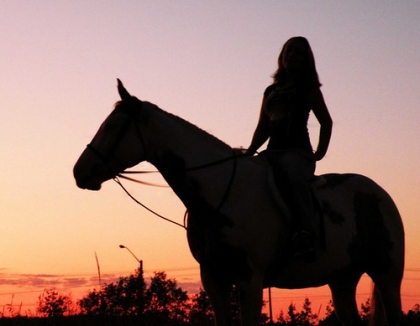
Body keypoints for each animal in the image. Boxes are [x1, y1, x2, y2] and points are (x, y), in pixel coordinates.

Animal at [74, 79, 406, 326]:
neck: (218, 193)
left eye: (111, 127)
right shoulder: (213, 278)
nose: (79, 172)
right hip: (342, 281)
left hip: (387, 276)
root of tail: (381, 194)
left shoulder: (250, 279)